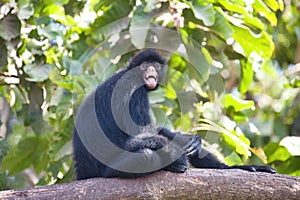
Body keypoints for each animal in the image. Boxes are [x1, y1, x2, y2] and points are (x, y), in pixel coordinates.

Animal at [73, 48, 276, 180]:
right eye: (145, 66)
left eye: (155, 66)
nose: (151, 70)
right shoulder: (132, 91)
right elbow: (137, 139)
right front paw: (179, 160)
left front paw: (193, 143)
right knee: (146, 154)